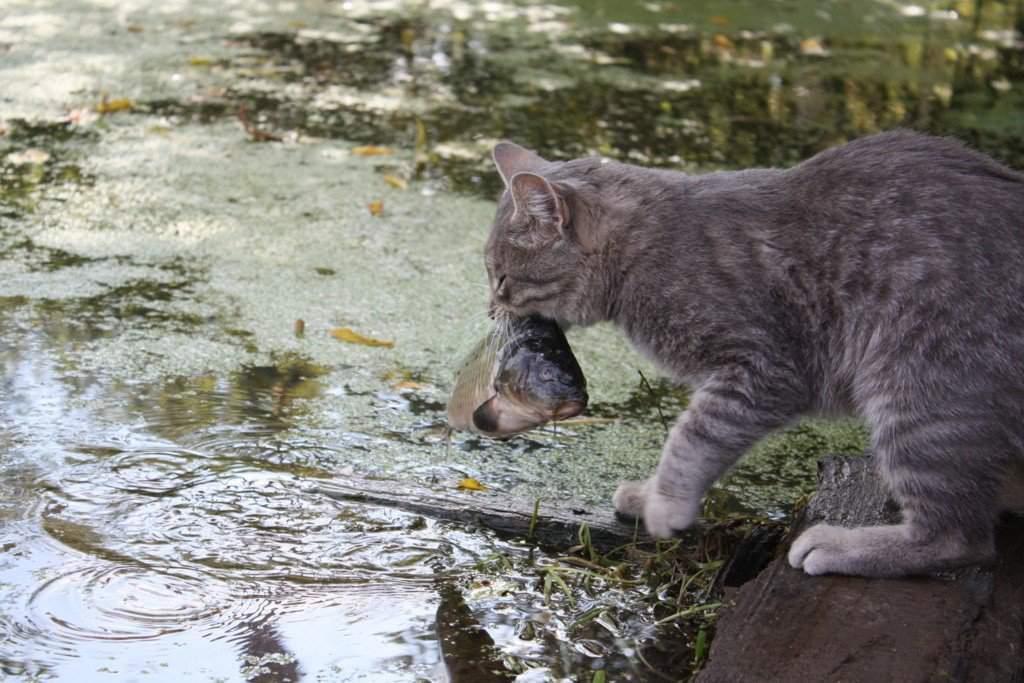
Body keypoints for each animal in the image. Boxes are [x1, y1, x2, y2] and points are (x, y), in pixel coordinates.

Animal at [482, 130, 1024, 578]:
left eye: (501, 277)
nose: (491, 308)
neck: (645, 247)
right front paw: (649, 492)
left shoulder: (763, 369)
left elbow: (691, 438)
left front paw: (665, 503)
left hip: (919, 392)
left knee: (959, 540)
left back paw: (843, 546)